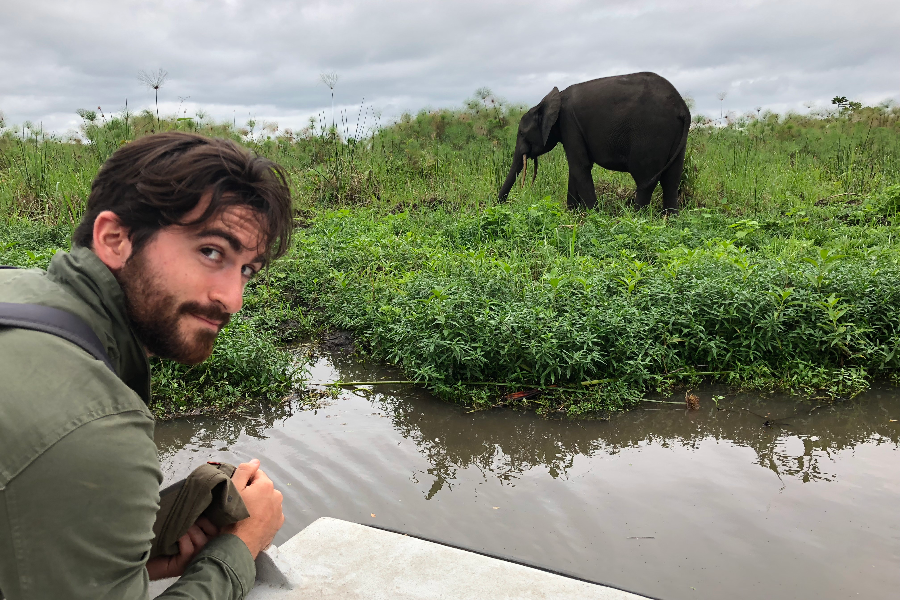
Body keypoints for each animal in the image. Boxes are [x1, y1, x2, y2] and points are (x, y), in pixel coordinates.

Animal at [500, 72, 688, 213]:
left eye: (522, 133)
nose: (500, 204)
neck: (546, 102)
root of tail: (682, 109)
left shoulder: (569, 123)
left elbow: (580, 166)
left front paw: (593, 216)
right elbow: (575, 169)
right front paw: (572, 214)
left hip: (651, 134)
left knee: (645, 180)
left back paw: (636, 218)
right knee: (671, 180)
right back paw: (670, 220)